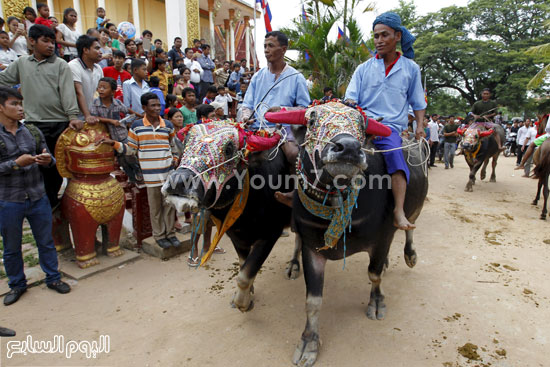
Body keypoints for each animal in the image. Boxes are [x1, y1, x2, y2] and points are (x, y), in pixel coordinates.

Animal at [163, 122, 294, 312]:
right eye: (186, 142)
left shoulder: (270, 234)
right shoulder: (236, 237)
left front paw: (243, 303)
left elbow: (245, 275)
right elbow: (243, 266)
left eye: (229, 148)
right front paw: (247, 295)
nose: (178, 181)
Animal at [266, 101, 432, 367]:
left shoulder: (382, 238)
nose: (349, 148)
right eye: (312, 120)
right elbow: (312, 300)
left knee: (408, 229)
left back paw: (410, 254)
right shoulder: (312, 247)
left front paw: (377, 303)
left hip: (415, 210)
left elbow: (374, 274)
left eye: (362, 126)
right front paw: (308, 342)